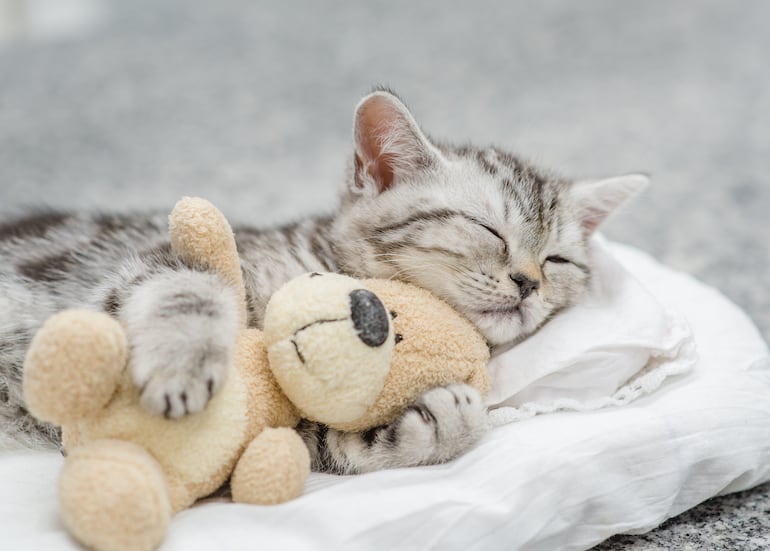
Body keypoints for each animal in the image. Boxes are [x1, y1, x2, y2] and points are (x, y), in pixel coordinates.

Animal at [0, 90, 648, 474]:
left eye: (557, 261)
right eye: (486, 228)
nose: (528, 283)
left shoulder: (294, 434)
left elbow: (325, 444)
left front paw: (444, 421)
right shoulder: (149, 266)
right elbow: (192, 289)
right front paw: (181, 366)